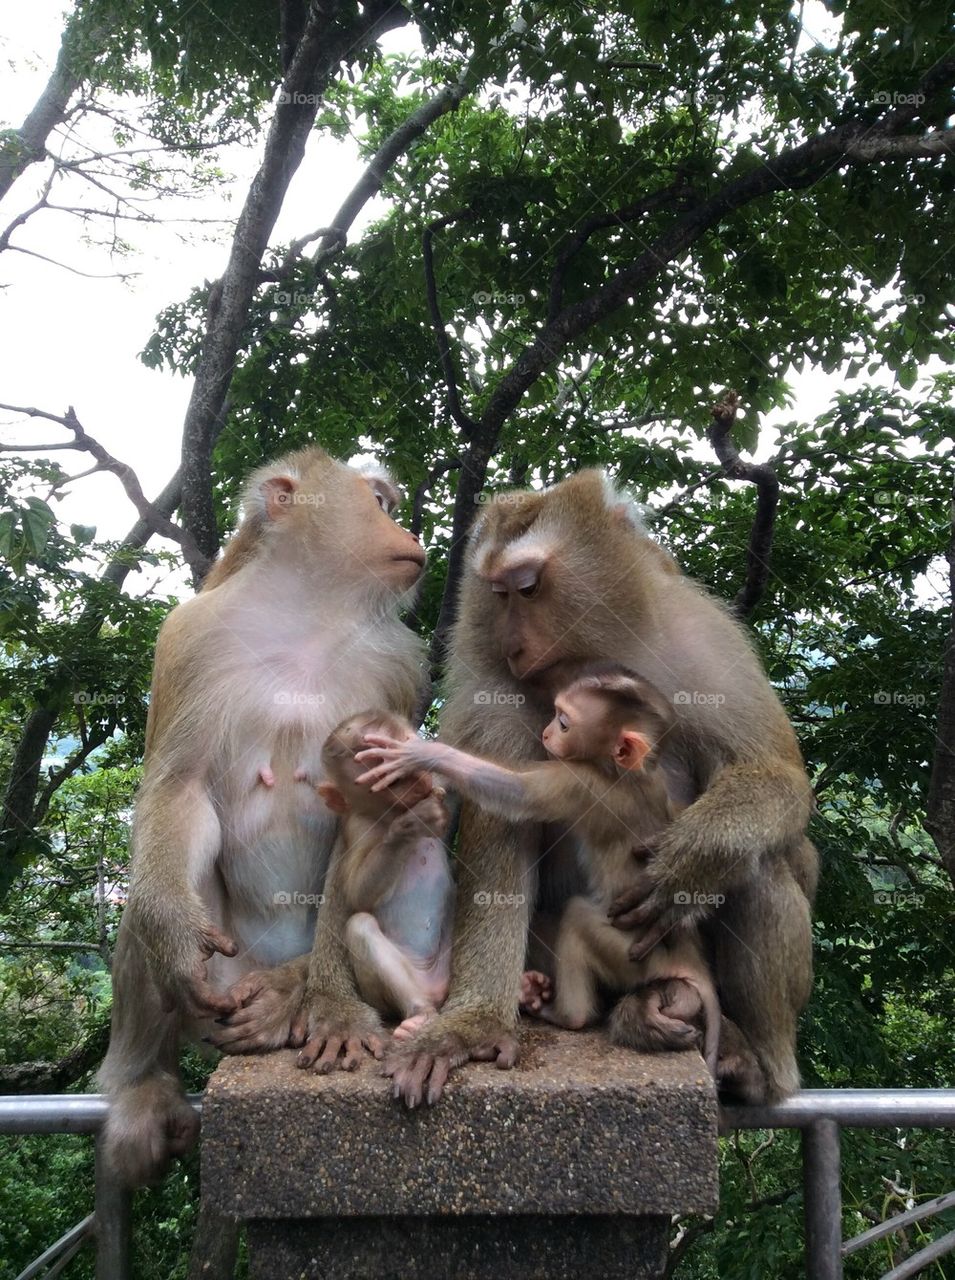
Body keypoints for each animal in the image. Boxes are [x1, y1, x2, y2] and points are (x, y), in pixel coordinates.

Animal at [97, 446, 428, 1184]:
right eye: (378, 502)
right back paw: (141, 1087)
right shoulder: (190, 638)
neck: (308, 614)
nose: (409, 531)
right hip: (219, 987)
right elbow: (180, 790)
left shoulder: (399, 667)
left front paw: (325, 1008)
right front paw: (174, 935)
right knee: (148, 909)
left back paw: (284, 1000)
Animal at [293, 710, 453, 1071]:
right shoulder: (358, 826)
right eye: (392, 781)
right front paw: (409, 826)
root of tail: (433, 987)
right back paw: (420, 1014)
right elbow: (356, 892)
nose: (420, 782)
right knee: (360, 926)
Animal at [356, 663, 720, 1077]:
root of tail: (687, 958)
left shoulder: (581, 781)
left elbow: (516, 792)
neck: (627, 773)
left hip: (634, 956)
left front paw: (424, 753)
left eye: (563, 722)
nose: (546, 732)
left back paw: (563, 1014)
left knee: (578, 918)